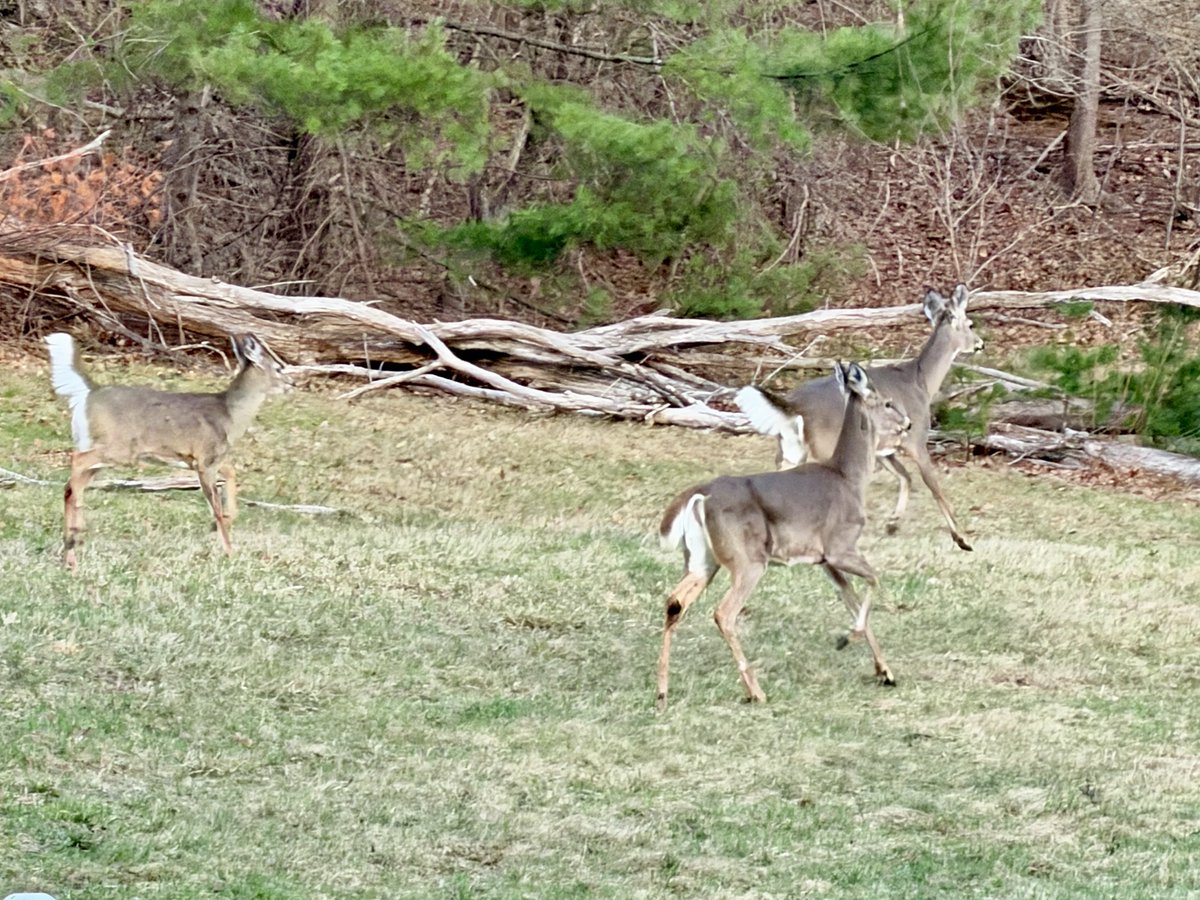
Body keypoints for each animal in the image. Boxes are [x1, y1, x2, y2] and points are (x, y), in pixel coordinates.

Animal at [45, 332, 291, 571]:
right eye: (279, 367)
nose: (292, 383)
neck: (230, 416)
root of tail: (89, 392)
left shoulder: (210, 459)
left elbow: (231, 475)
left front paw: (224, 523)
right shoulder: (205, 459)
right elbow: (215, 505)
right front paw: (229, 550)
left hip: (96, 447)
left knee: (71, 483)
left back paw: (70, 553)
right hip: (119, 447)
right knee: (76, 463)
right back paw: (75, 538)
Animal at [656, 362, 912, 710]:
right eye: (887, 403)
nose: (908, 423)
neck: (849, 478)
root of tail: (700, 495)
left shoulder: (824, 560)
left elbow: (852, 598)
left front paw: (885, 671)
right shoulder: (839, 545)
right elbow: (874, 579)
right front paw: (848, 639)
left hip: (702, 560)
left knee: (674, 602)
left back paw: (662, 691)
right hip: (747, 559)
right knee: (723, 613)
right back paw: (755, 691)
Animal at [735, 284, 982, 551]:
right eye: (970, 324)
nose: (980, 344)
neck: (921, 382)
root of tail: (792, 405)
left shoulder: (884, 448)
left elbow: (905, 477)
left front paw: (892, 524)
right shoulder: (916, 440)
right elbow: (932, 485)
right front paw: (961, 538)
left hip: (788, 450)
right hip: (823, 447)